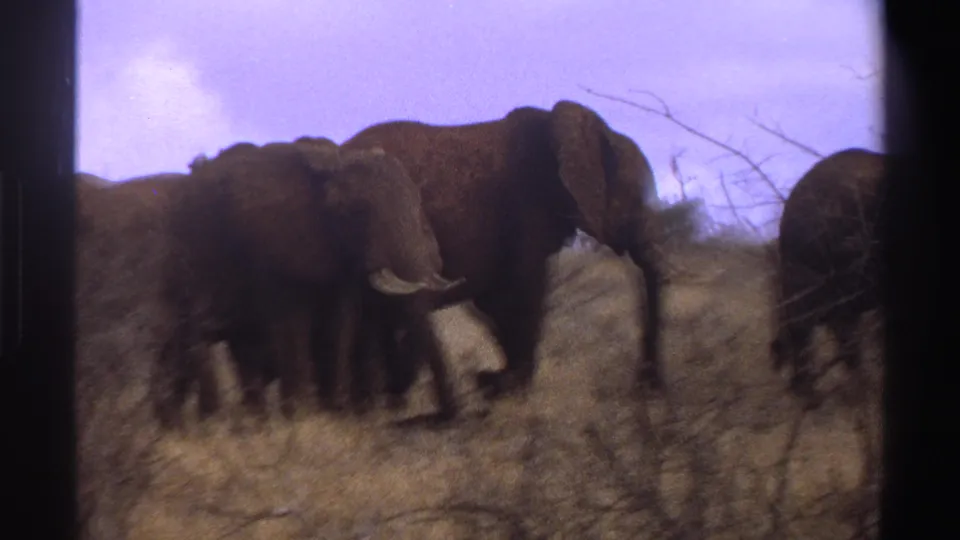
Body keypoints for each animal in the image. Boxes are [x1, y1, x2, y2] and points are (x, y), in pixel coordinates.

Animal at [156, 138, 463, 429]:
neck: (330, 166)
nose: (443, 417)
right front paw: (302, 415)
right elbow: (293, 322)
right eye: (357, 211)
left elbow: (341, 323)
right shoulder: (275, 247)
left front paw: (334, 413)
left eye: (418, 203)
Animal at [339, 100, 665, 401]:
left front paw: (494, 383)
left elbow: (496, 301)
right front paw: (501, 386)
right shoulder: (526, 211)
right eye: (636, 199)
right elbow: (524, 293)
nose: (644, 384)